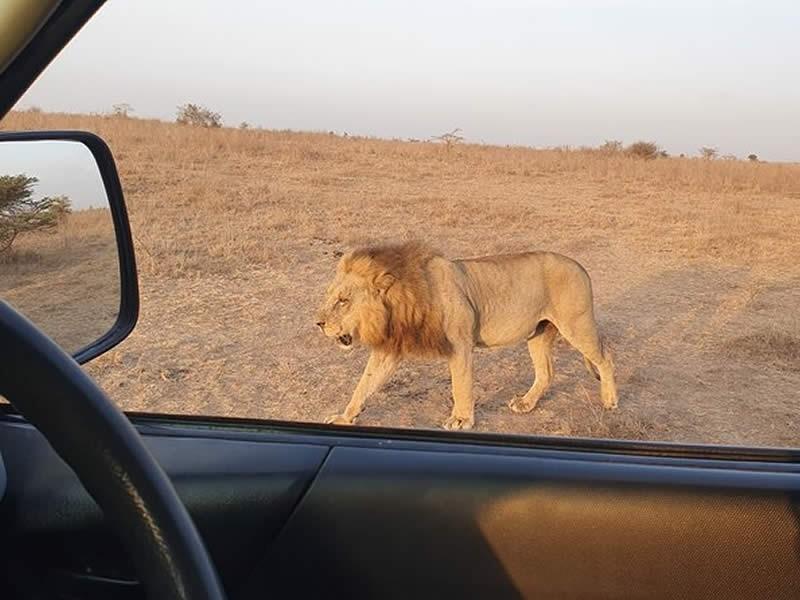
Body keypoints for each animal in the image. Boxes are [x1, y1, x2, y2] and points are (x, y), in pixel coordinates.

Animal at [316, 241, 617, 430]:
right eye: (330, 297)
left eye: (343, 301)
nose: (318, 323)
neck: (398, 304)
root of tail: (580, 266)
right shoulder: (389, 349)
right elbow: (364, 385)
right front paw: (344, 417)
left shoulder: (459, 344)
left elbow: (460, 386)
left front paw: (461, 420)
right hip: (538, 333)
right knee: (546, 373)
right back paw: (525, 404)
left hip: (576, 325)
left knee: (606, 356)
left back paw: (610, 401)